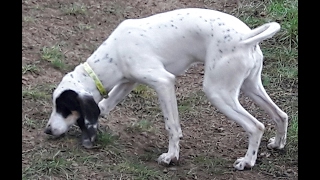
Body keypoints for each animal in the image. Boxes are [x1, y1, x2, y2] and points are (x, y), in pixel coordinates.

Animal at [44, 8, 288, 170]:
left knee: (256, 126)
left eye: (63, 108)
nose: (47, 131)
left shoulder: (163, 83)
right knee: (281, 115)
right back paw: (278, 143)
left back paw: (247, 161)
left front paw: (171, 157)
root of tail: (246, 38)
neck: (114, 53)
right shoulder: (128, 82)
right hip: (249, 87)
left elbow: (172, 126)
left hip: (218, 93)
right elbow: (103, 107)